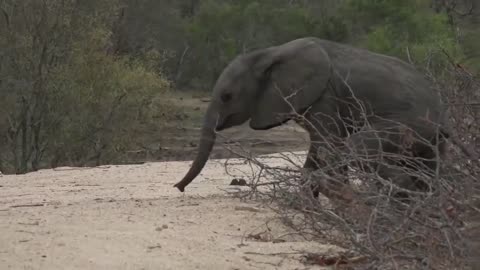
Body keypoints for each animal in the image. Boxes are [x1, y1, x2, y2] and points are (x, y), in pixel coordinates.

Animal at [174, 37, 452, 198]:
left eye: (227, 96)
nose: (179, 188)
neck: (269, 54)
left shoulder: (324, 96)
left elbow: (328, 146)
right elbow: (317, 152)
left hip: (409, 122)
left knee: (358, 149)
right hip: (428, 138)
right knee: (427, 167)